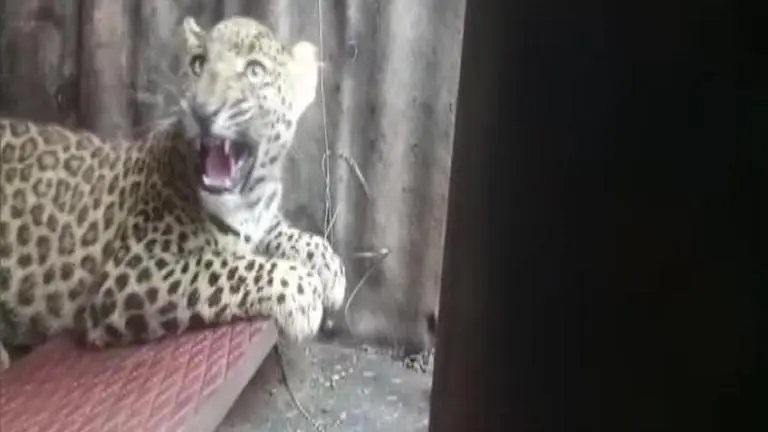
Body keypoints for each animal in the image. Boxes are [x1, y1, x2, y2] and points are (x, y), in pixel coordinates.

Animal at [0, 16, 347, 371]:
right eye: (198, 63)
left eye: (254, 70)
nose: (202, 110)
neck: (248, 203)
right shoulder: (131, 271)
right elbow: (221, 266)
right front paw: (302, 290)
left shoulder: (261, 221)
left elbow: (289, 233)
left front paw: (330, 268)